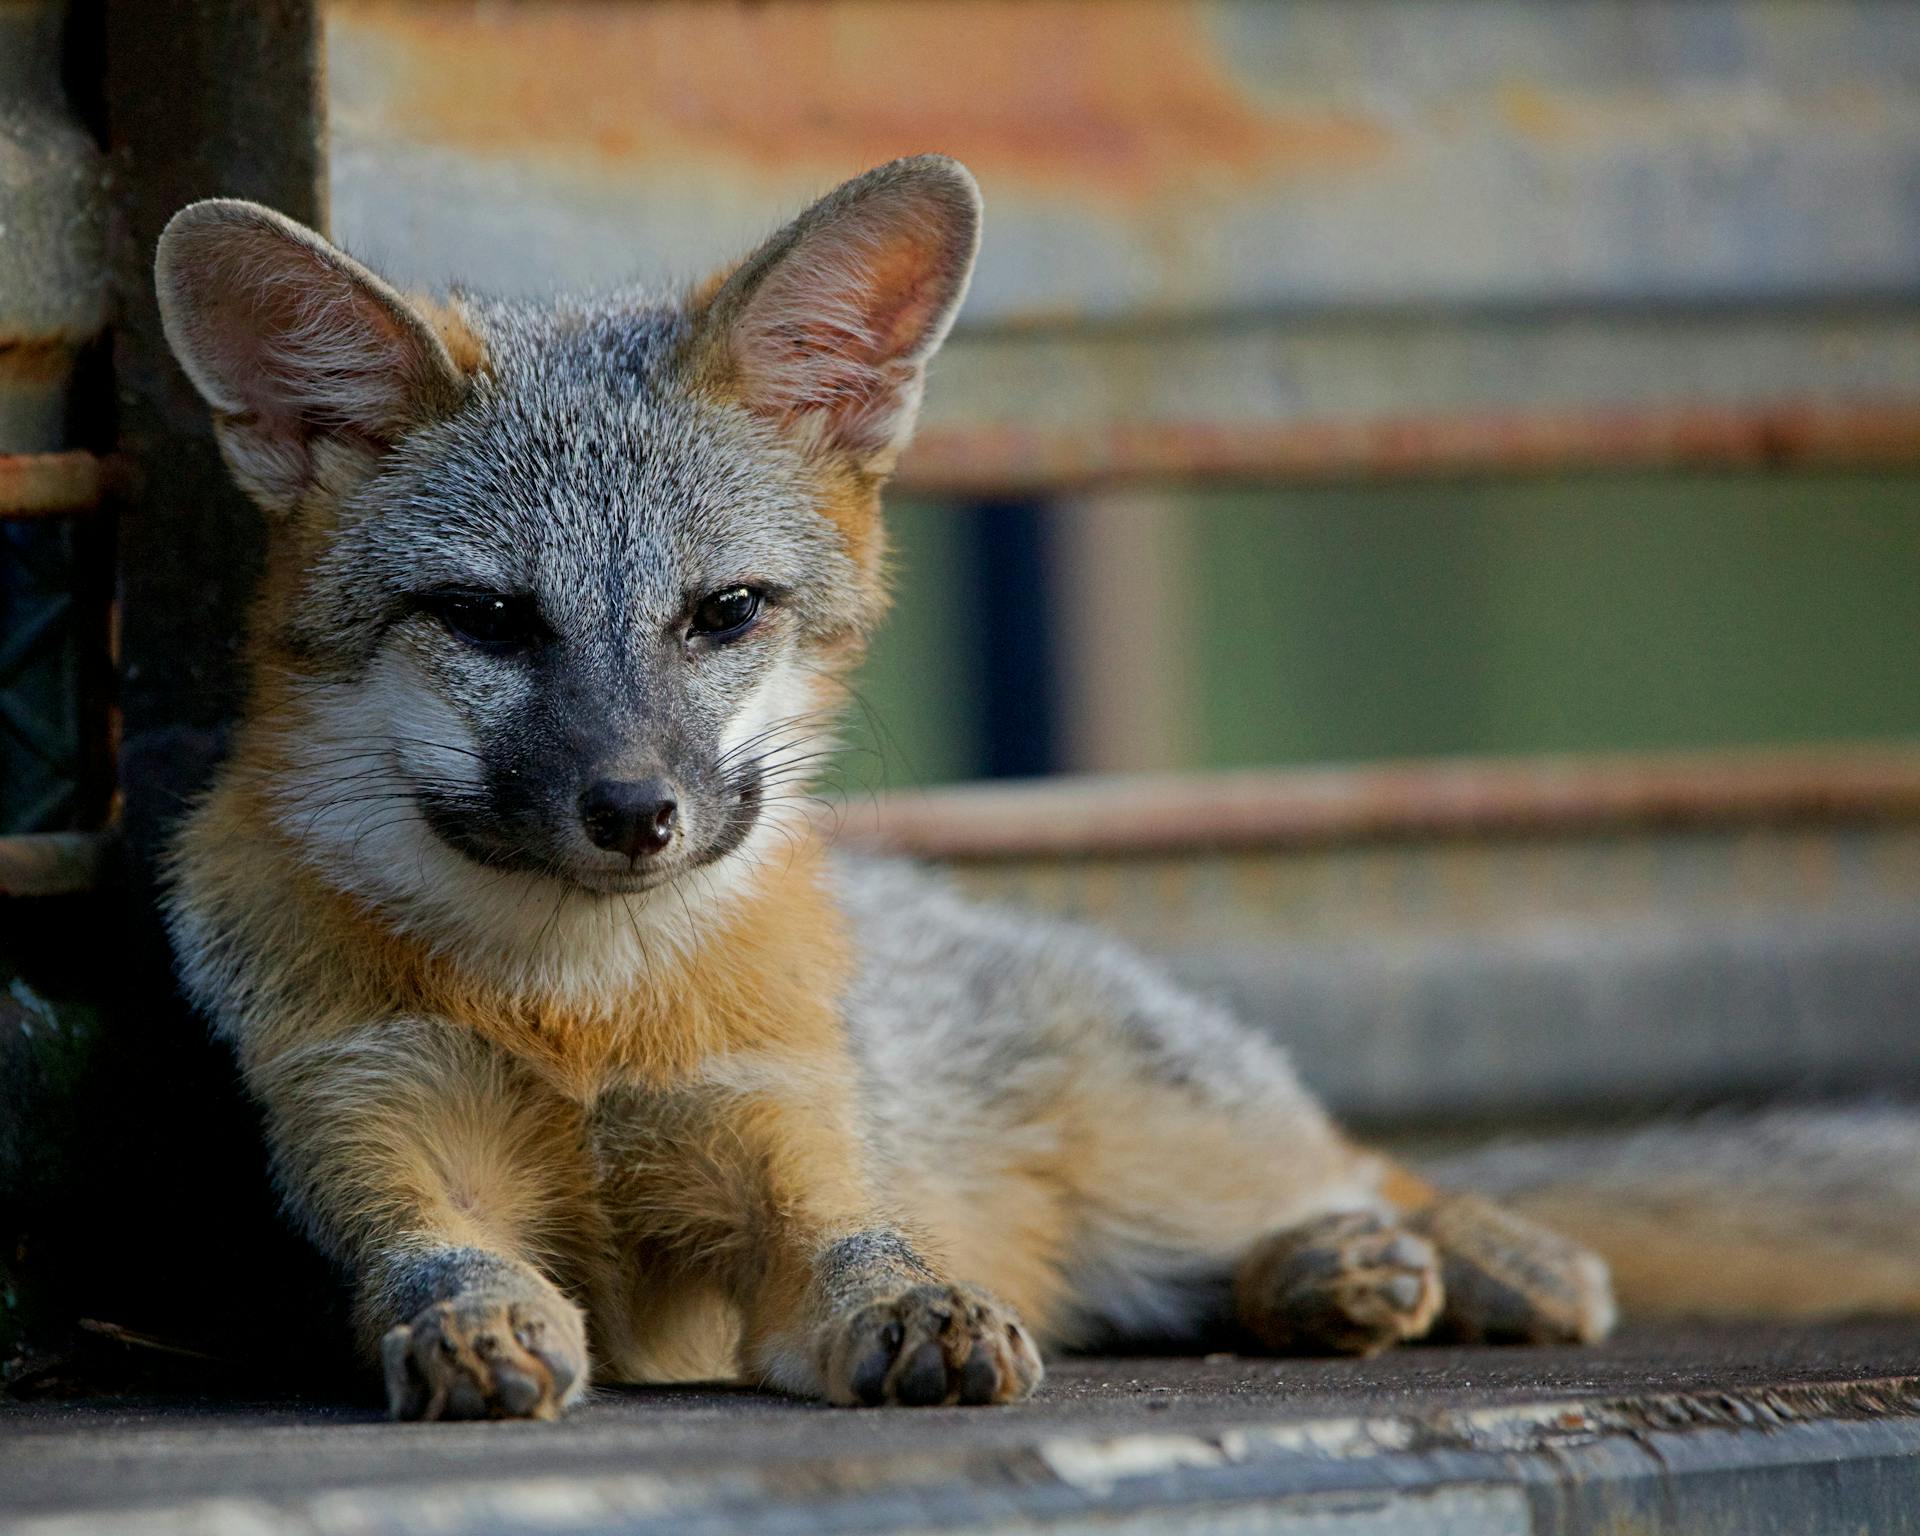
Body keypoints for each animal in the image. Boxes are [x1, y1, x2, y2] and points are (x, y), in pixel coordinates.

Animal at [150, 154, 1624, 1421]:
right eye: (487, 619)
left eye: (725, 612)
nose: (636, 813)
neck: (585, 1015)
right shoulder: (373, 1132)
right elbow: (435, 1256)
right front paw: (473, 1322)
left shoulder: (779, 1145)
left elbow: (866, 1247)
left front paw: (923, 1311)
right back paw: (1330, 1274)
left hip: (1165, 1174)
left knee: (1361, 1170)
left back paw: (1463, 1256)